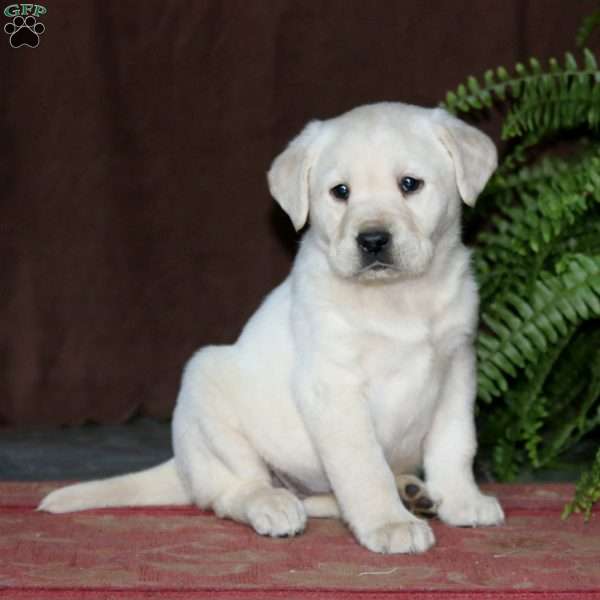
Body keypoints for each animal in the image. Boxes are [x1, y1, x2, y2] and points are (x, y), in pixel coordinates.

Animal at [39, 102, 504, 552]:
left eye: (410, 184)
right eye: (341, 192)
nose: (372, 241)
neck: (399, 299)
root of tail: (182, 465)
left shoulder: (457, 368)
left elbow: (454, 444)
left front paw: (462, 500)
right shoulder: (333, 387)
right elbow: (362, 465)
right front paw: (388, 524)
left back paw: (410, 491)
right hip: (207, 391)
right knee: (231, 492)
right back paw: (274, 505)